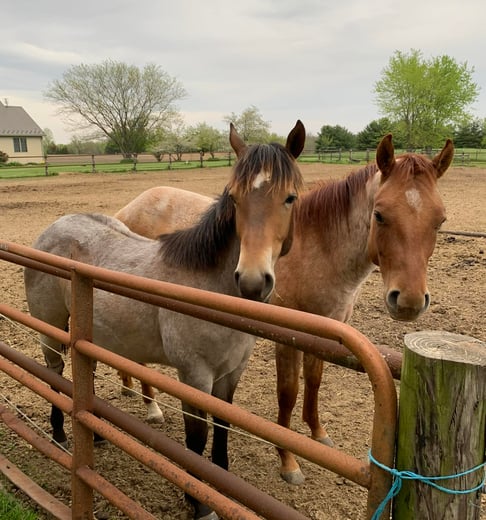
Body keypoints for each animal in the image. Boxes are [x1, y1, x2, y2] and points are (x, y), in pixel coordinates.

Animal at [24, 121, 306, 520]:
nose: (252, 281)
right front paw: (199, 503)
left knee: (83, 375)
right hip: (50, 330)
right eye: (234, 198)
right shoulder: (194, 376)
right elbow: (197, 439)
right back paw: (61, 435)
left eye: (290, 198)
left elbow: (222, 428)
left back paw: (94, 434)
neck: (208, 288)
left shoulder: (231, 374)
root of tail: (53, 228)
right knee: (55, 373)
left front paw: (220, 486)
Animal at [115, 132, 456, 486]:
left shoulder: (326, 332)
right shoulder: (286, 338)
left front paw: (318, 433)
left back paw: (130, 388)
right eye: (379, 215)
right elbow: (288, 392)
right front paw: (288, 460)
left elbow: (315, 381)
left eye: (440, 221)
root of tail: (131, 207)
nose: (409, 301)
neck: (316, 250)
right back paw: (152, 407)